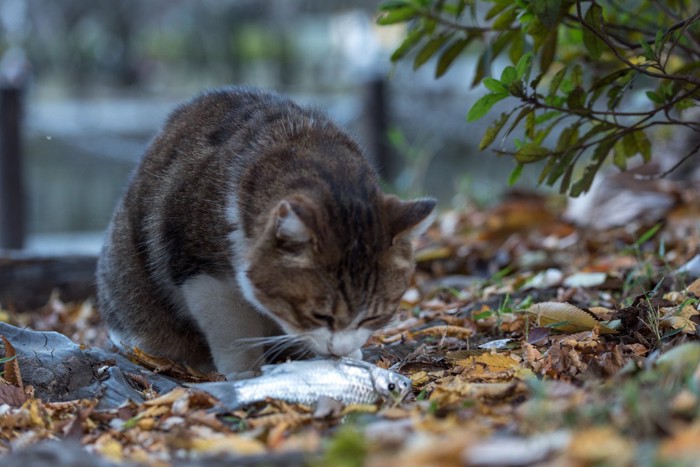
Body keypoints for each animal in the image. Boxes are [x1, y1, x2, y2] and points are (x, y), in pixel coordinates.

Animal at [95, 88, 434, 380]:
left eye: (372, 317)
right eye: (319, 315)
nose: (340, 352)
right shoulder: (201, 271)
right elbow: (230, 329)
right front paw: (245, 372)